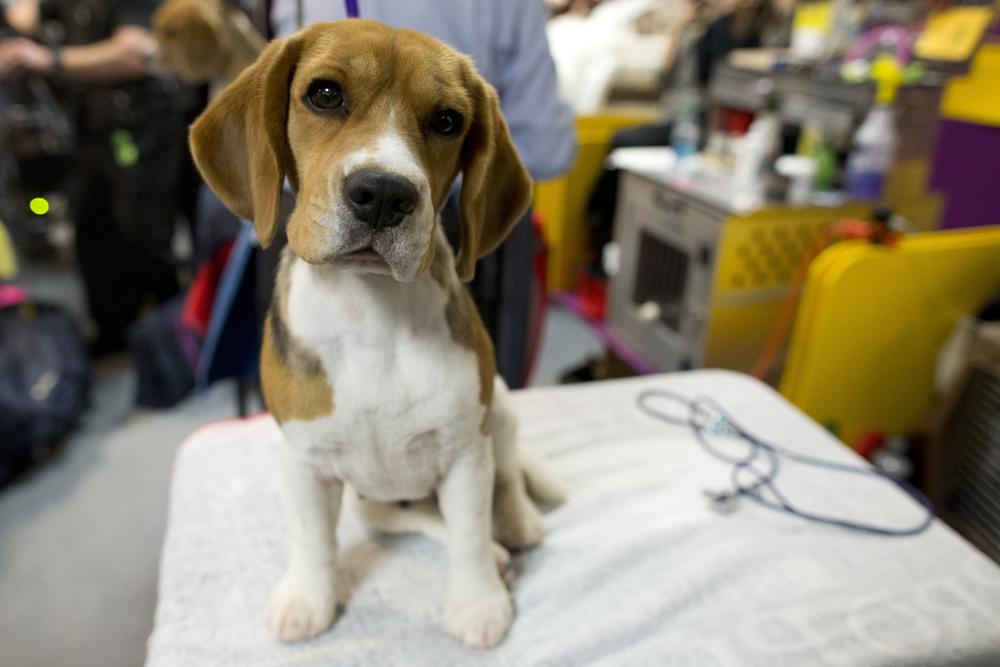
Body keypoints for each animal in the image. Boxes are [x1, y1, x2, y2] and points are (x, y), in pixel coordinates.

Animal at [188, 19, 564, 648]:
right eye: (324, 94)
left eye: (447, 121)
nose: (385, 194)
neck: (371, 315)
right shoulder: (306, 462)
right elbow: (313, 537)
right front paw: (310, 598)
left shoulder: (466, 452)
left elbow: (468, 531)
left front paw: (477, 603)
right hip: (375, 503)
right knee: (421, 518)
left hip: (502, 409)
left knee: (506, 476)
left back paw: (514, 524)